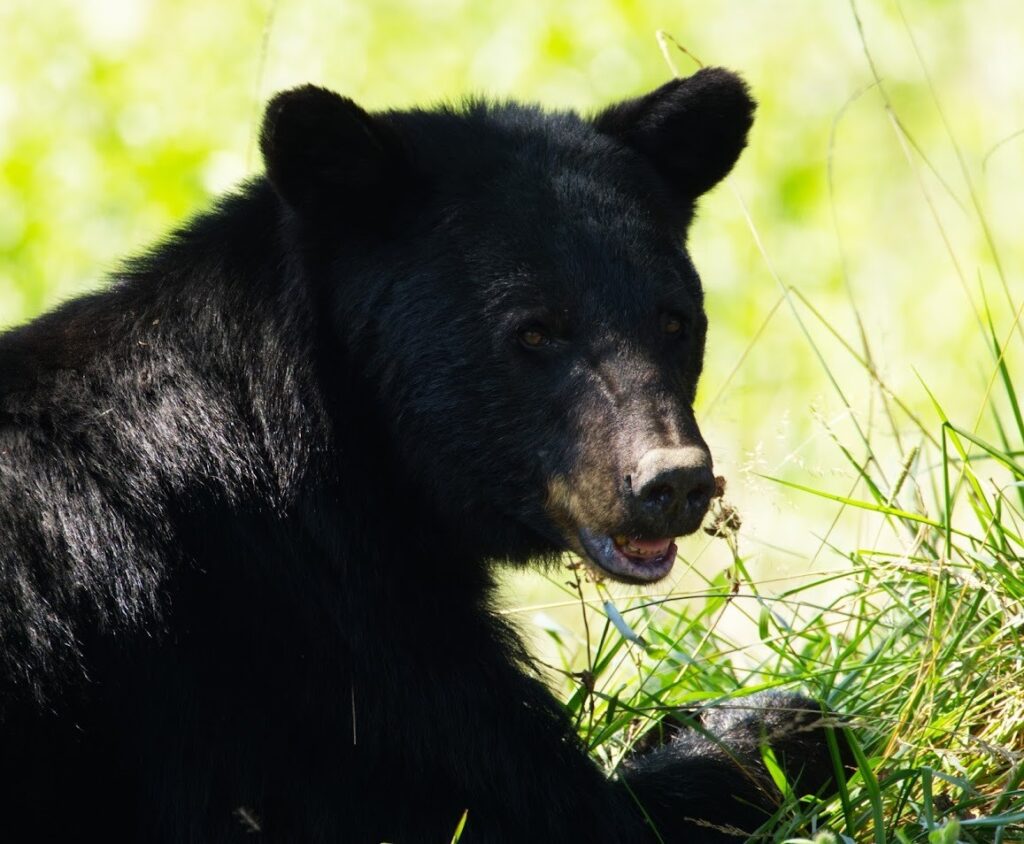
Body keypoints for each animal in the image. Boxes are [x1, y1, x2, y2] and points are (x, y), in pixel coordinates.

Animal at [0, 68, 841, 842]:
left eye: (675, 321)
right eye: (534, 331)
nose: (673, 483)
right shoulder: (307, 638)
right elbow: (527, 802)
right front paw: (765, 723)